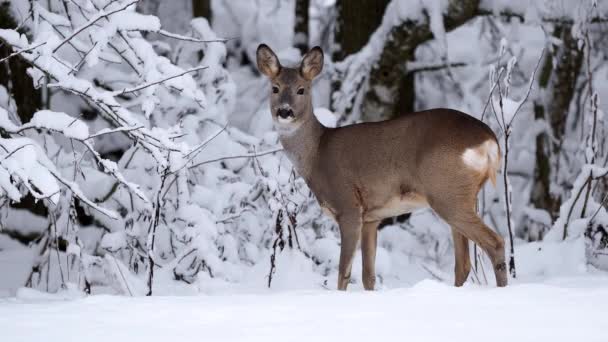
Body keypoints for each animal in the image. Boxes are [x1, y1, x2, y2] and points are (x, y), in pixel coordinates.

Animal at [256, 42, 508, 288]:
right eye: (275, 88)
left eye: (302, 89)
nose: (285, 111)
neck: (318, 153)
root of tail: (489, 141)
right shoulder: (372, 218)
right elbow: (368, 276)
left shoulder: (348, 206)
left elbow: (343, 273)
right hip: (463, 195)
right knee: (463, 263)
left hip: (446, 192)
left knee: (495, 242)